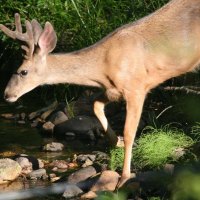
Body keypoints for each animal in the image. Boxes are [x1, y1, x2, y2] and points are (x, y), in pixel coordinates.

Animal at [0, 0, 200, 188]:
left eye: (23, 71)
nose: (7, 94)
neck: (103, 66)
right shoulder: (113, 90)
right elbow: (96, 105)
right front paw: (116, 141)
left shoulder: (136, 87)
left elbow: (129, 132)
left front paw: (124, 177)